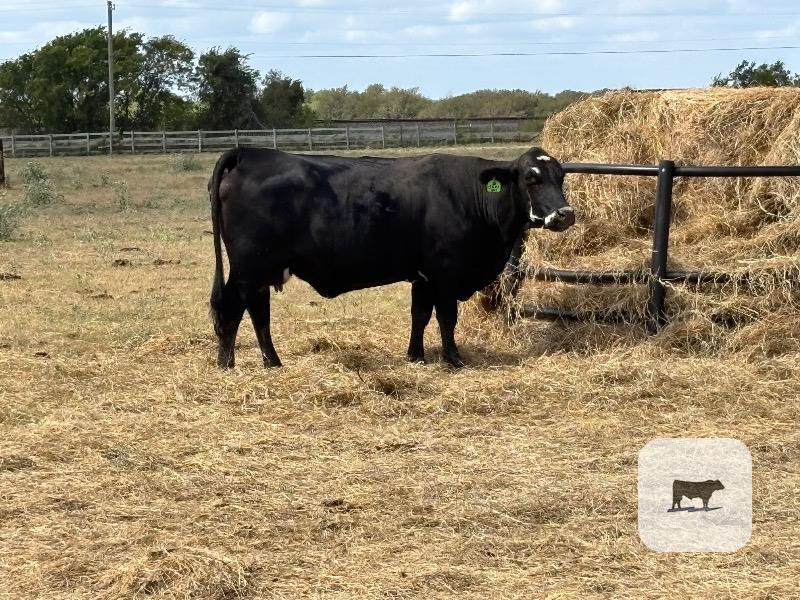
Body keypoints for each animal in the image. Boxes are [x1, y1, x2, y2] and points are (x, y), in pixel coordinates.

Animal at [208, 146, 574, 369]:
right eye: (530, 178)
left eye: (561, 177)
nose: (565, 214)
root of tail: (250, 152)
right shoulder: (445, 274)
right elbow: (446, 318)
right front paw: (453, 359)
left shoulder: (423, 276)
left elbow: (420, 316)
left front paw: (415, 356)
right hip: (247, 268)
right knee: (231, 309)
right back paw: (227, 364)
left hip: (260, 270)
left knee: (258, 313)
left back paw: (272, 362)